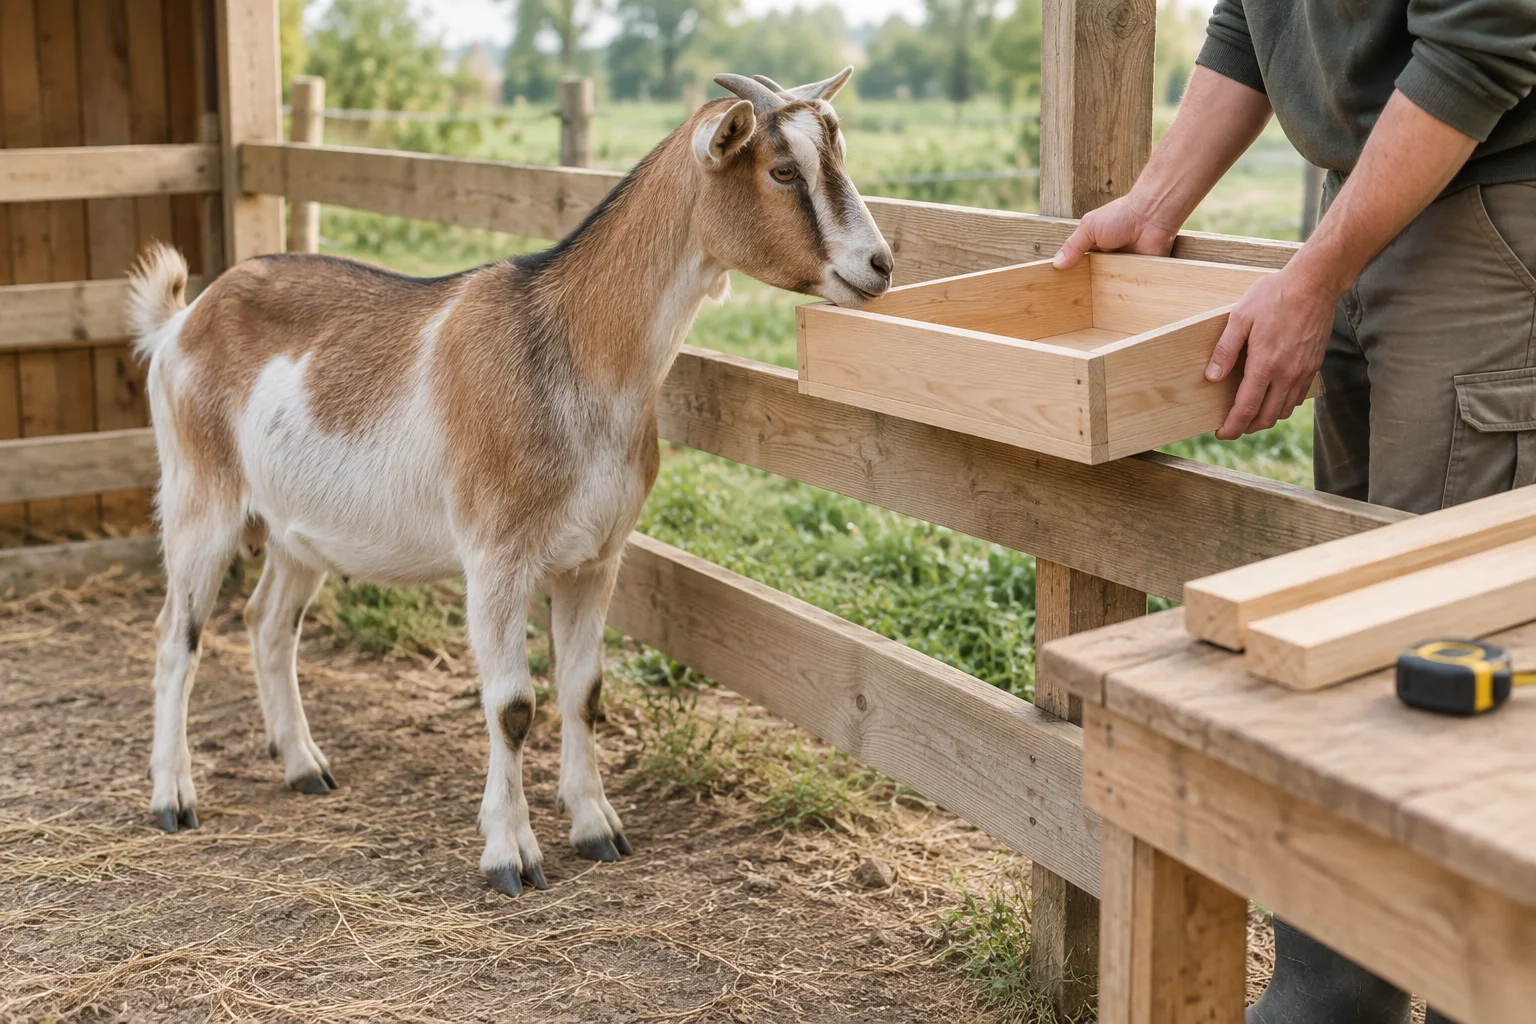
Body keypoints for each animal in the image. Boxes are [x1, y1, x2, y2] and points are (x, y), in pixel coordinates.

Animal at [127, 69, 893, 896]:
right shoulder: (496, 557)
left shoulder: (595, 558)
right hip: (199, 495)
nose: (880, 264)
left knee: (268, 621)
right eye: (783, 171)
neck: (575, 350)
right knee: (176, 635)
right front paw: (510, 853)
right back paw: (173, 798)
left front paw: (596, 827)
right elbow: (513, 706)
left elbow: (584, 692)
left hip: (299, 529)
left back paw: (303, 765)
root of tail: (183, 320)